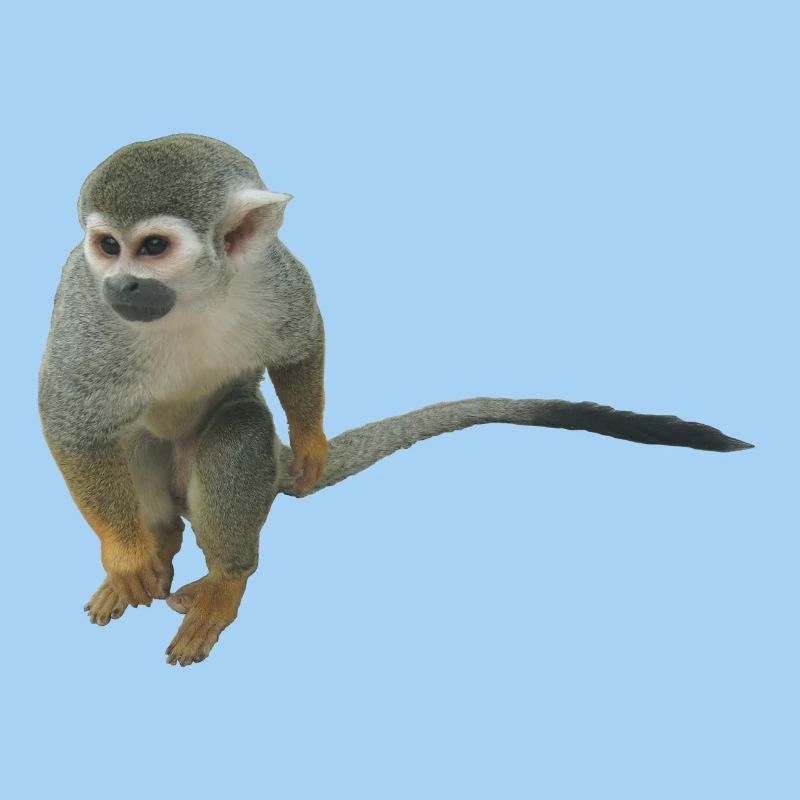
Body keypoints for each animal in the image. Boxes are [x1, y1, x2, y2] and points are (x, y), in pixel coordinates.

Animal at [38, 134, 753, 667]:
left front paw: (312, 442)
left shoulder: (272, 273)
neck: (194, 297)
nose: (124, 285)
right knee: (131, 443)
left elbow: (303, 342)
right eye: (108, 246)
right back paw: (153, 547)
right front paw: (125, 554)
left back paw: (227, 578)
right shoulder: (86, 305)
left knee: (238, 428)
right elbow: (68, 418)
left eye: (153, 247)